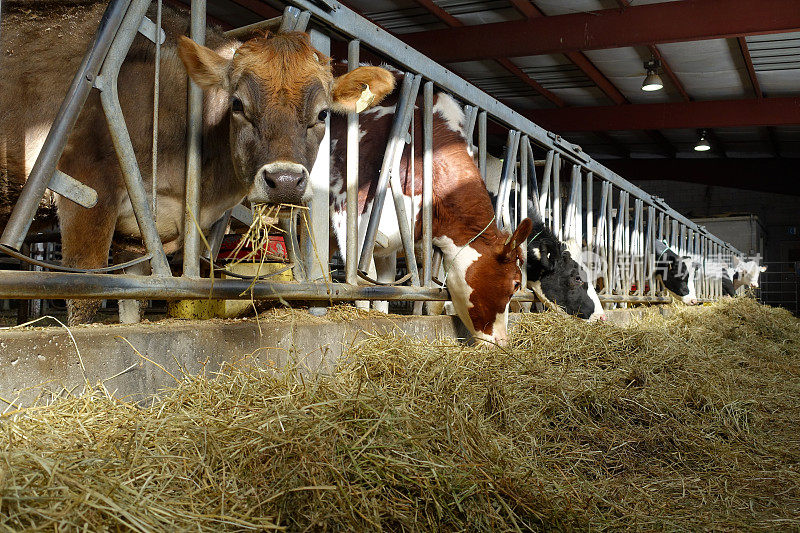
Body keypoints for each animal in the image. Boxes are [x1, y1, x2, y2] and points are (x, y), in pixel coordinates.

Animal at [0, 4, 394, 324]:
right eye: (237, 104)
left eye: (323, 113)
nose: (284, 181)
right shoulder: (89, 190)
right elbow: (84, 300)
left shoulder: (140, 234)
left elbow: (133, 303)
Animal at [328, 69, 536, 344]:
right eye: (515, 284)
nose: (502, 340)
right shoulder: (349, 218)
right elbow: (361, 286)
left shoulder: (392, 241)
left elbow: (388, 290)